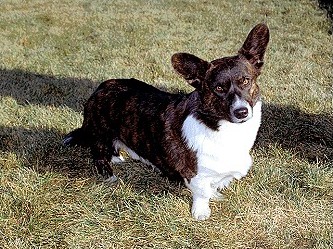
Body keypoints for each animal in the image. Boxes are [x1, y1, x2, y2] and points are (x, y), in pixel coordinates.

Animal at [63, 23, 268, 220]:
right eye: (218, 88)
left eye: (245, 81)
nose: (241, 112)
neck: (218, 125)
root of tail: (100, 88)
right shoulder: (195, 173)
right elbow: (202, 192)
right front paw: (201, 212)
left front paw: (215, 194)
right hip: (100, 134)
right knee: (98, 154)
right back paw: (109, 175)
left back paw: (117, 158)